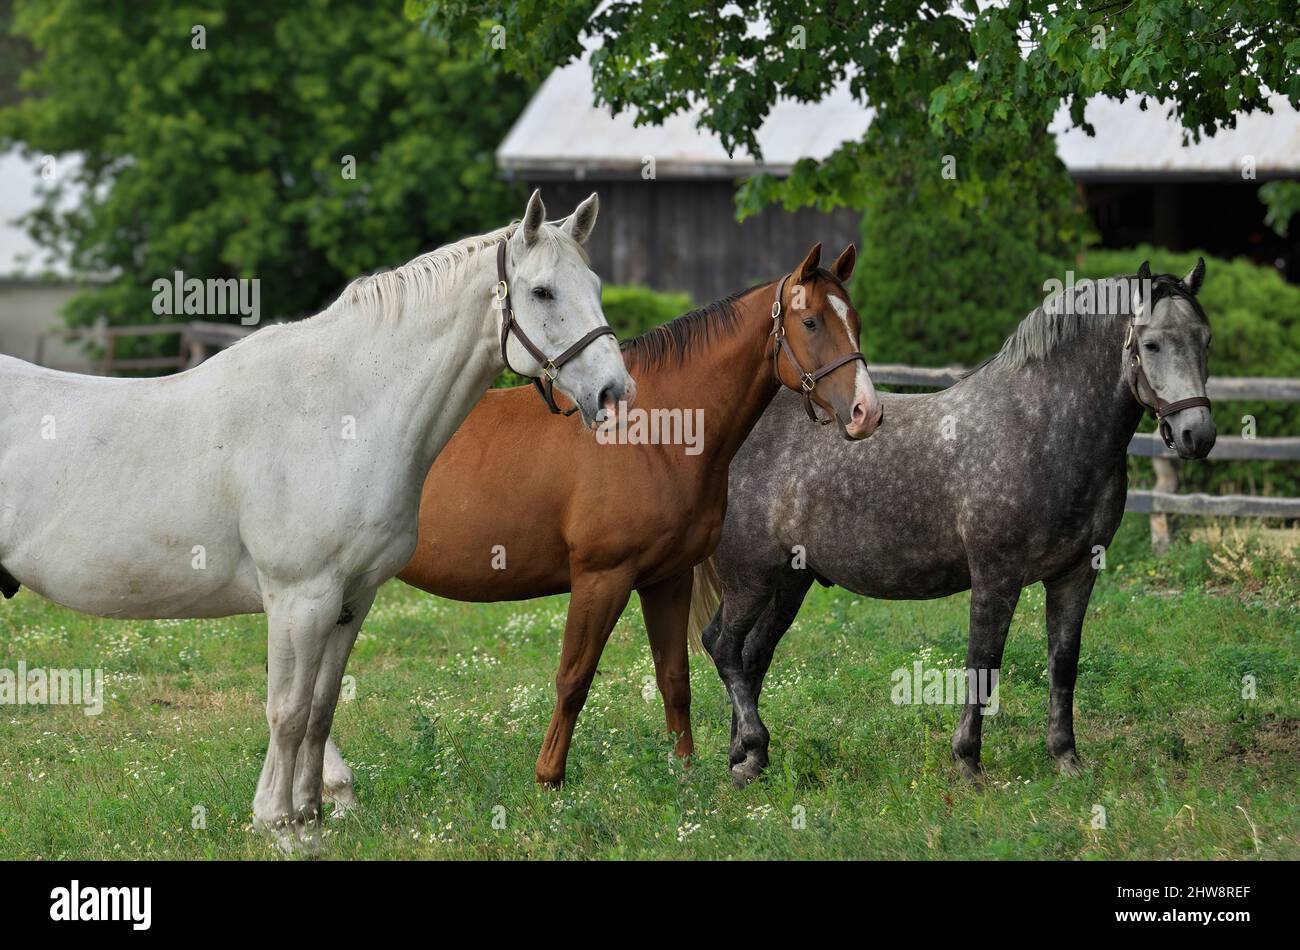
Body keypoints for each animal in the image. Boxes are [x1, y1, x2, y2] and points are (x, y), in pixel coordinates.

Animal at [0, 189, 629, 852]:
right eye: (542, 292)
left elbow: (322, 708)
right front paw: (279, 826)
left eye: (594, 283)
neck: (339, 408)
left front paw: (311, 816)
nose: (615, 393)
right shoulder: (301, 598)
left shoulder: (352, 599)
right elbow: (290, 711)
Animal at [335, 241, 883, 790]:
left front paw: (683, 775)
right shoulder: (602, 578)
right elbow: (574, 678)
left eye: (855, 319)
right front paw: (549, 779)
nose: (867, 412)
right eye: (810, 322)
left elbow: (674, 677)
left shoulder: (668, 578)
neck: (654, 433)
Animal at [696, 259, 1211, 790]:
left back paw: (747, 760)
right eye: (1151, 343)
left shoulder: (1076, 575)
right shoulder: (996, 577)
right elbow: (983, 664)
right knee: (723, 646)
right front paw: (968, 762)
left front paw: (1065, 757)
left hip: (788, 583)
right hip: (750, 577)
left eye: (1204, 340)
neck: (1041, 428)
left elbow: (1063, 663)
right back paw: (751, 749)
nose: (1197, 434)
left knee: (752, 656)